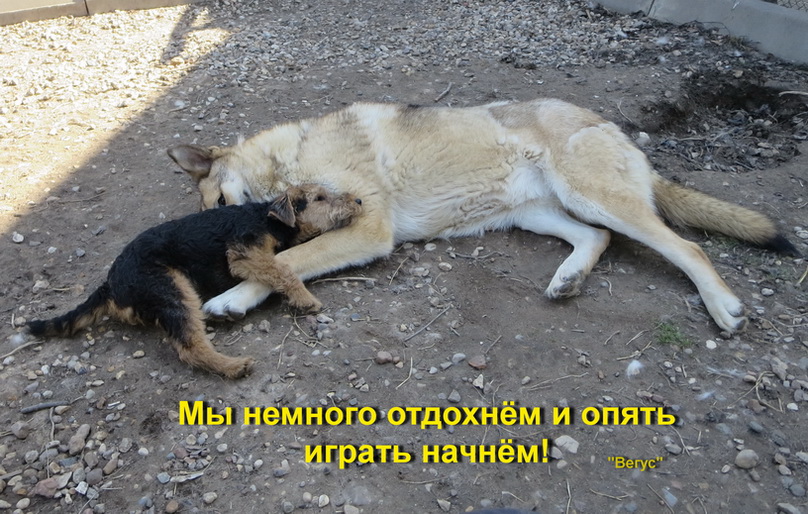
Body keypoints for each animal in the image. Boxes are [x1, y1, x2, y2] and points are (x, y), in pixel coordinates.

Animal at [27, 184, 363, 379]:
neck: (269, 216)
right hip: (171, 288)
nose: (359, 200)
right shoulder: (244, 252)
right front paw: (305, 300)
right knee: (191, 347)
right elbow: (283, 270)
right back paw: (233, 366)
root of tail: (110, 285)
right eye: (319, 198)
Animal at [167, 99, 798, 334]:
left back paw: (723, 307)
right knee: (595, 239)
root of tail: (606, 123)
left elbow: (291, 260)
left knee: (686, 247)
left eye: (219, 206)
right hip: (539, 216)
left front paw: (231, 295)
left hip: (593, 197)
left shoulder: (366, 228)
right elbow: (286, 259)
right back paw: (568, 278)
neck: (291, 159)